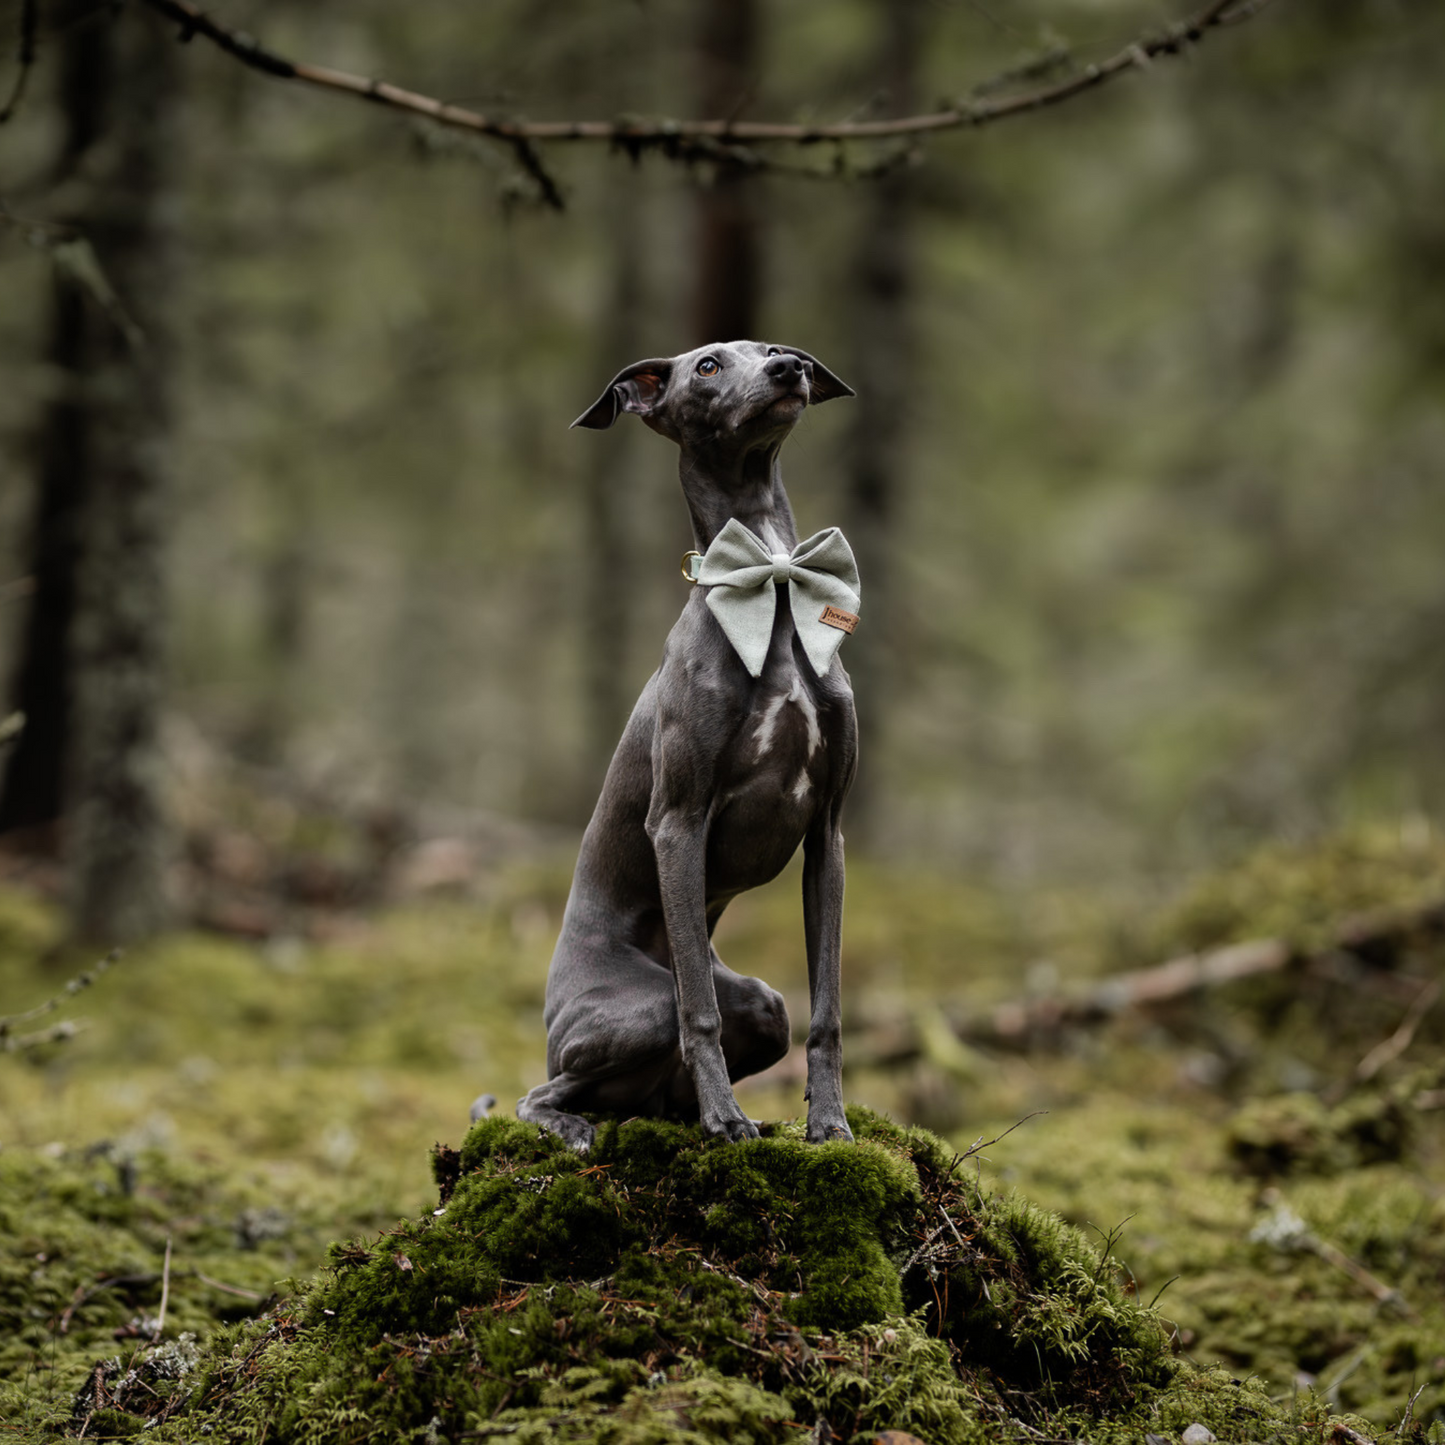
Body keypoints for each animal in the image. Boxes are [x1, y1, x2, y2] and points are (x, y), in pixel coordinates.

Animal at [514, 338, 861, 1150]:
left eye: (776, 350)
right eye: (706, 366)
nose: (789, 371)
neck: (770, 586)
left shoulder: (827, 835)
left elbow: (828, 1008)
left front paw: (827, 1121)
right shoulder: (678, 821)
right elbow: (696, 1013)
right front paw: (725, 1122)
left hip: (761, 1005)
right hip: (638, 1008)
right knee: (538, 1090)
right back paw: (578, 1124)